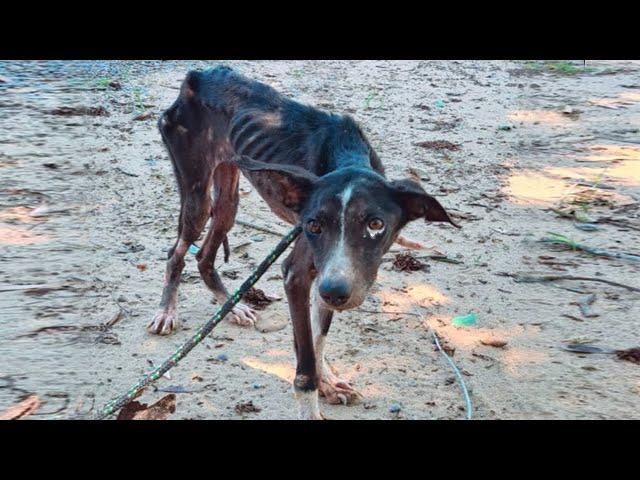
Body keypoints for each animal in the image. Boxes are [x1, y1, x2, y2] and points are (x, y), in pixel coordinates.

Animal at [148, 65, 458, 418]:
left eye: (376, 224)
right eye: (313, 224)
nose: (336, 292)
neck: (346, 155)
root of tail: (195, 76)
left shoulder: (326, 278)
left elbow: (317, 337)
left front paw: (328, 383)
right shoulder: (297, 275)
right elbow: (305, 361)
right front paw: (314, 394)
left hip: (227, 202)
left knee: (204, 256)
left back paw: (234, 307)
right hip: (197, 196)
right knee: (176, 253)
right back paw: (167, 311)